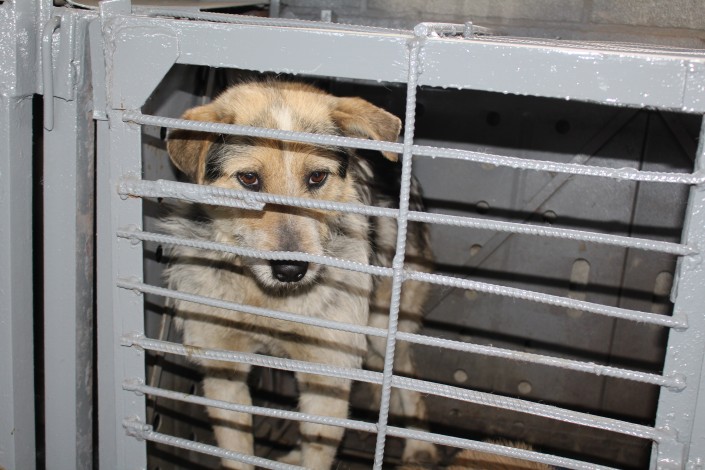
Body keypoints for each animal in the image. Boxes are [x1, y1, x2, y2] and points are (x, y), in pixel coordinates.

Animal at [161, 80, 437, 469]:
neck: (265, 298)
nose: (291, 269)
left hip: (386, 327)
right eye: (249, 178)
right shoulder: (222, 369)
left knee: (409, 381)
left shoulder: (326, 376)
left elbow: (317, 452)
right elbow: (237, 452)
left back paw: (419, 447)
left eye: (317, 176)